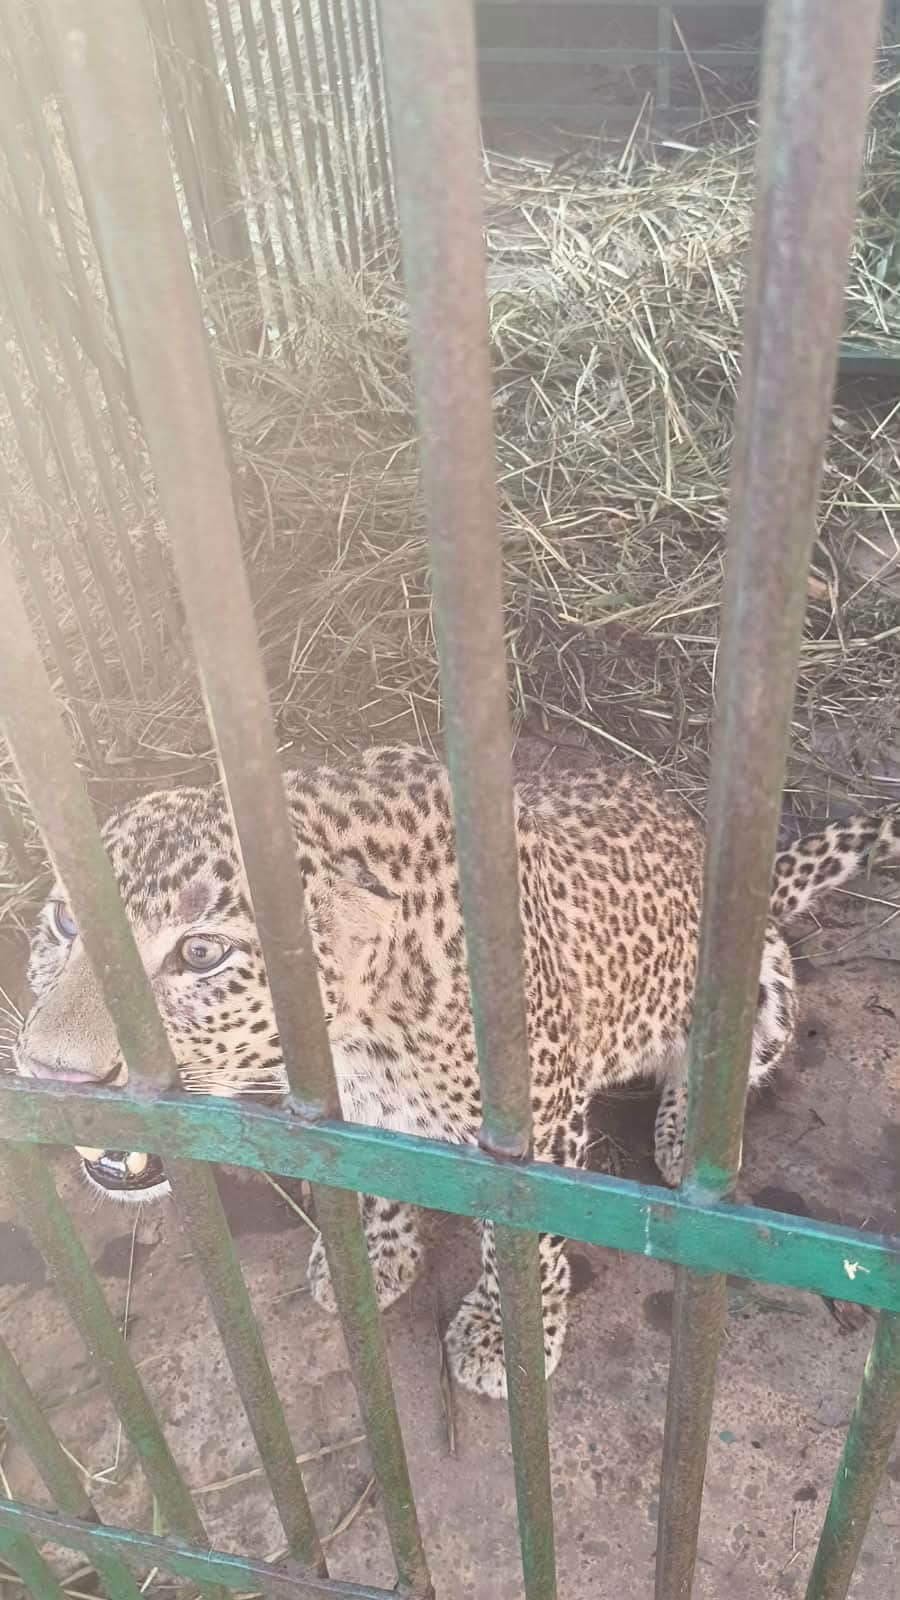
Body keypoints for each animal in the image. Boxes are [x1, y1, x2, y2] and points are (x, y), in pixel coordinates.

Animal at [14, 745, 900, 1398]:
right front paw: (372, 1257)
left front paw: (506, 1337)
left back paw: (690, 1142)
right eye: (62, 922)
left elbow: (526, 1239)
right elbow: (372, 1179)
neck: (362, 1030)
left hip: (765, 986)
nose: (54, 1075)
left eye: (201, 954)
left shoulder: (542, 1126)